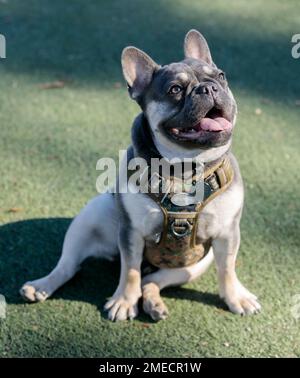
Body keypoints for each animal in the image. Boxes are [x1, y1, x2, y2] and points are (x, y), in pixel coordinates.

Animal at [20, 29, 260, 320]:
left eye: (221, 77)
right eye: (175, 90)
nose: (209, 87)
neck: (184, 168)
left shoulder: (227, 234)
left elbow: (227, 269)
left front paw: (236, 297)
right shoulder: (131, 232)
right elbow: (130, 270)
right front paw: (124, 300)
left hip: (194, 265)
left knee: (151, 281)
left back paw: (153, 303)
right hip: (89, 217)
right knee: (70, 265)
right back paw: (41, 285)